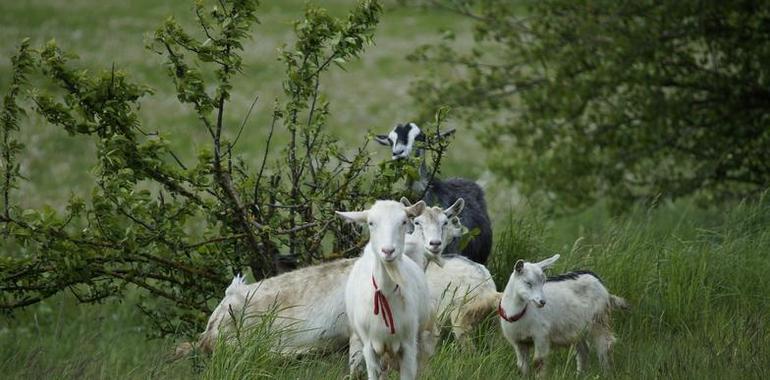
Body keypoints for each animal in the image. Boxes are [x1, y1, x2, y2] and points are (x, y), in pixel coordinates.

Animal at [336, 199, 432, 380]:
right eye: (371, 223)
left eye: (403, 222)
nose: (388, 251)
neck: (386, 293)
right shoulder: (369, 348)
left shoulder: (408, 346)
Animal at [496, 254, 628, 376]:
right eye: (528, 283)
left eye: (543, 281)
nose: (542, 302)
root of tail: (597, 279)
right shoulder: (518, 342)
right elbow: (522, 366)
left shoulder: (541, 336)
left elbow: (539, 362)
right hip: (577, 327)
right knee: (583, 350)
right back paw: (580, 374)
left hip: (599, 319)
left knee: (605, 346)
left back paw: (606, 372)